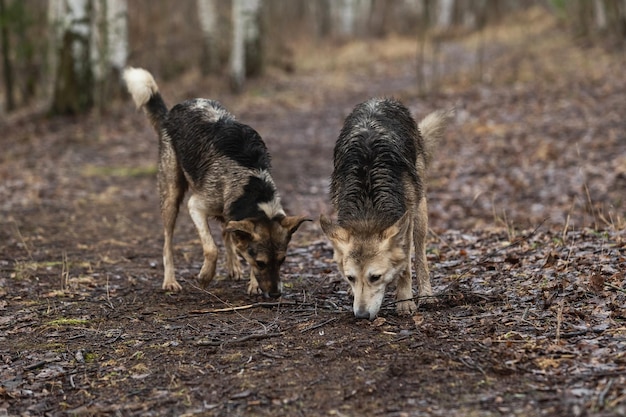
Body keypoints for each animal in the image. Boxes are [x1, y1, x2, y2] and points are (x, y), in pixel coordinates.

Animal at [123, 67, 308, 296]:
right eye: (261, 262)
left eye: (282, 261)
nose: (275, 294)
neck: (250, 182)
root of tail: (171, 112)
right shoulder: (196, 207)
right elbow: (211, 248)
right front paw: (205, 277)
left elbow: (231, 239)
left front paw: (252, 282)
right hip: (171, 197)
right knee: (168, 244)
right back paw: (170, 281)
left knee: (226, 231)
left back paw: (233, 266)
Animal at [320, 98, 450, 318]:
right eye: (350, 278)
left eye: (375, 277)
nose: (361, 315)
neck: (368, 205)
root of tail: (380, 100)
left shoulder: (405, 221)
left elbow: (406, 268)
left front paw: (405, 303)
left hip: (420, 214)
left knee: (421, 257)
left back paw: (426, 295)